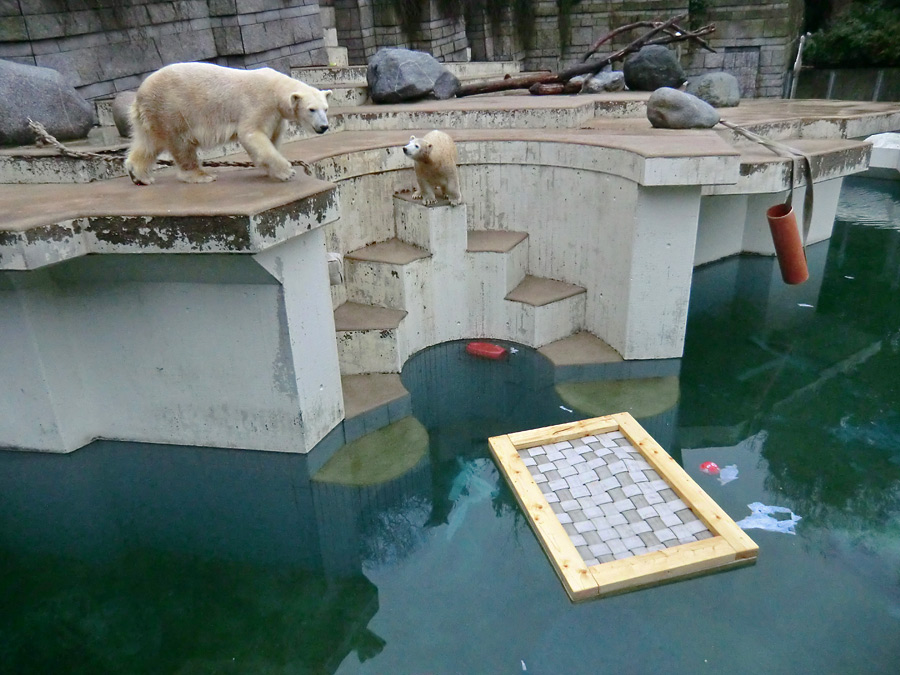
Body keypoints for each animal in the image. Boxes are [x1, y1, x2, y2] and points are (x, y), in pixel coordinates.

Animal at [125, 63, 332, 185]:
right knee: (181, 143)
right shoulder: (258, 105)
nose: (324, 127)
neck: (275, 90)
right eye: (311, 109)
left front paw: (273, 171)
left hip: (153, 115)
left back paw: (139, 175)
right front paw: (287, 171)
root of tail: (139, 95)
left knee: (148, 143)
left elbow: (271, 139)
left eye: (326, 108)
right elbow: (252, 135)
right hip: (172, 109)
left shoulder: (276, 117)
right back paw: (202, 175)